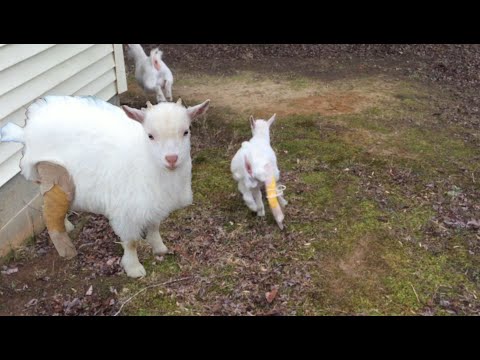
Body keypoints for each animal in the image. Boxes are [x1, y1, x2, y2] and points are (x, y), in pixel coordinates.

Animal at [0, 94, 210, 278]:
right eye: (150, 136)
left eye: (186, 131)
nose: (172, 159)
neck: (145, 158)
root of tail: (26, 131)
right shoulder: (126, 210)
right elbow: (131, 242)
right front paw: (134, 269)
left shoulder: (155, 203)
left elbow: (154, 227)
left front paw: (160, 249)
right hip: (55, 174)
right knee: (51, 216)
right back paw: (68, 251)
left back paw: (67, 225)